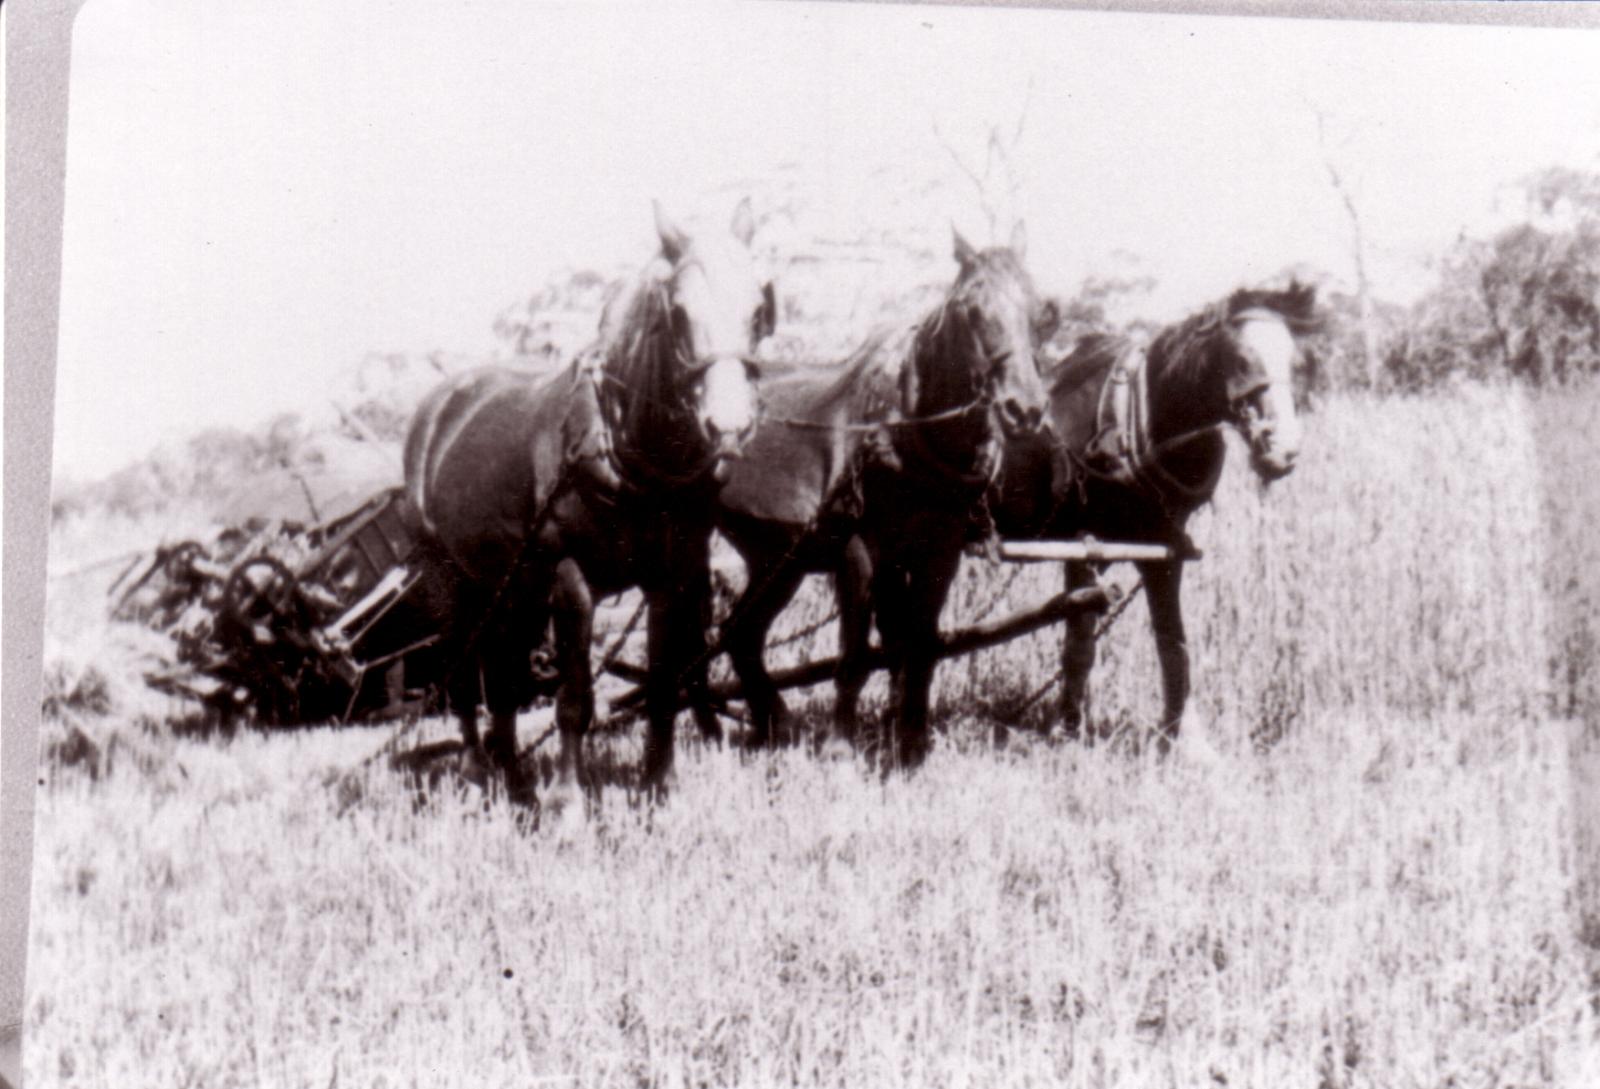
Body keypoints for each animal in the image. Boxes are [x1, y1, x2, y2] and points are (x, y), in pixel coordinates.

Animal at [400, 201, 774, 799]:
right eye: (679, 312)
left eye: (760, 307)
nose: (730, 425)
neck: (629, 444)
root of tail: (438, 408)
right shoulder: (569, 576)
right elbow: (574, 700)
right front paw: (569, 803)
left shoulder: (672, 575)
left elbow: (663, 684)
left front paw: (659, 786)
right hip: (450, 579)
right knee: (464, 672)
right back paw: (479, 770)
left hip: (511, 586)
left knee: (502, 676)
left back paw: (513, 777)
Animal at [713, 222, 1062, 764]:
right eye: (971, 309)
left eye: (1041, 310)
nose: (1023, 408)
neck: (908, 430)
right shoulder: (860, 549)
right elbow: (856, 654)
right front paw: (840, 746)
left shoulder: (940, 551)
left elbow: (919, 646)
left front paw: (912, 744)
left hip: (777, 557)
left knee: (741, 635)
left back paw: (772, 725)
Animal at [992, 279, 1318, 748]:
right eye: (1241, 360)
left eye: (1294, 362)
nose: (1283, 449)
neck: (1133, 422)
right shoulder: (1083, 545)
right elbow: (1079, 644)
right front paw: (1067, 727)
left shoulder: (1163, 548)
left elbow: (1173, 644)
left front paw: (1185, 741)